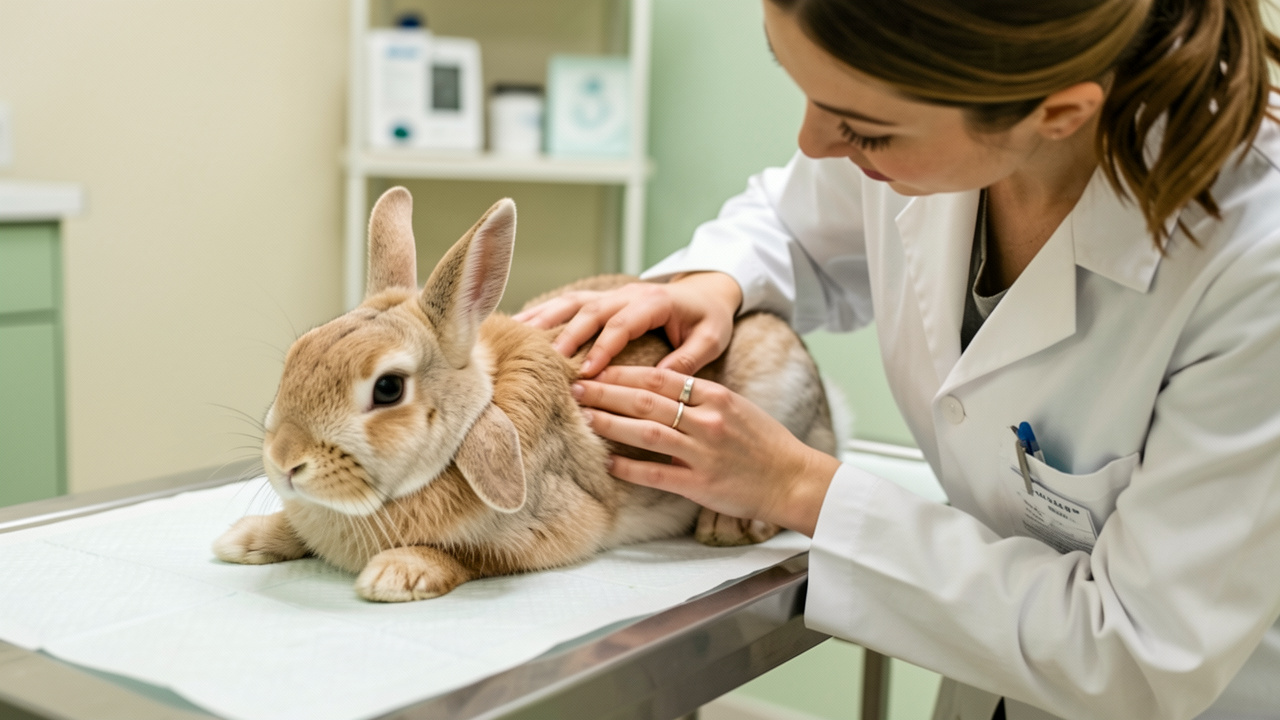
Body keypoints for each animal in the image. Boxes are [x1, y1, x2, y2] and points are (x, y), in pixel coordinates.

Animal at [213, 187, 837, 602]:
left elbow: (476, 556)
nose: (285, 462)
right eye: (299, 354)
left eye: (388, 388)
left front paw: (397, 574)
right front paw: (244, 539)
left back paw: (726, 526)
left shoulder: (547, 532)